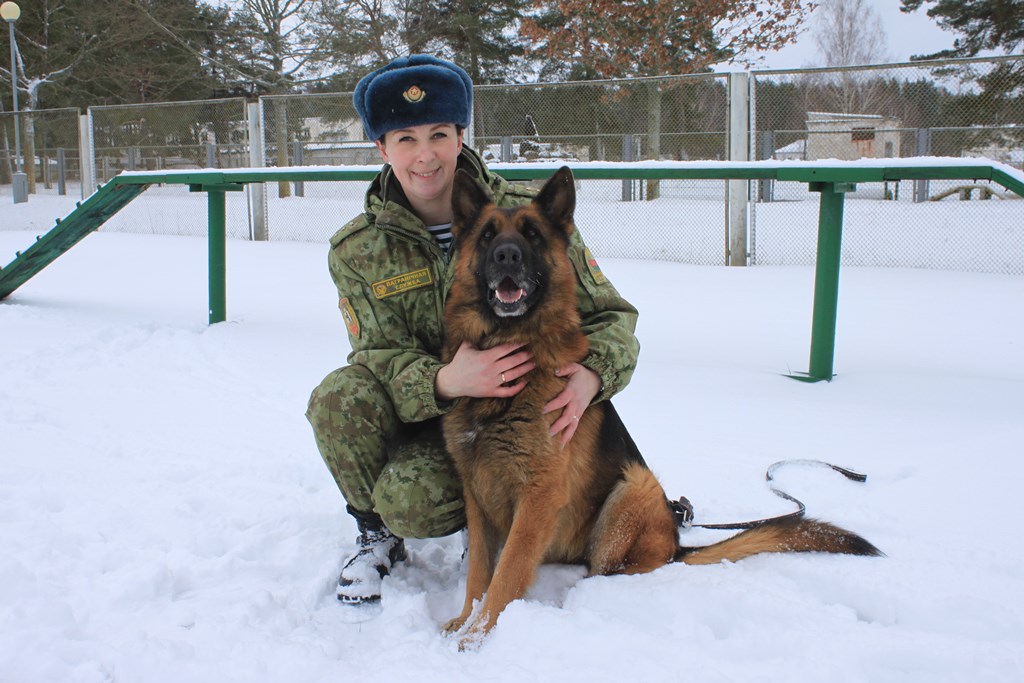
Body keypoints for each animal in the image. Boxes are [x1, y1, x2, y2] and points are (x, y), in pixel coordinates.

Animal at [440, 166, 880, 647]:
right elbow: (480, 570)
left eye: (532, 235)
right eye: (486, 236)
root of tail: (677, 541)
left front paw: (477, 638)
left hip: (636, 487)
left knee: (621, 567)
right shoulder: (478, 495)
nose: (506, 256)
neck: (512, 352)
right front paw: (464, 619)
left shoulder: (538, 498)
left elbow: (506, 574)